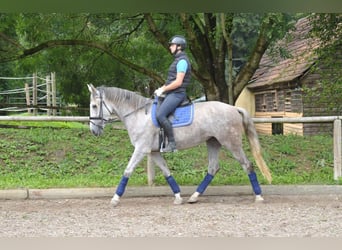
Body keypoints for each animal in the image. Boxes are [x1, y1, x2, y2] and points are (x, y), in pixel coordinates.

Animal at [88, 84, 272, 207]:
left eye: (94, 106)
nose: (93, 131)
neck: (139, 114)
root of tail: (234, 108)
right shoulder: (153, 152)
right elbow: (166, 171)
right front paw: (177, 196)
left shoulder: (141, 149)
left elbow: (127, 171)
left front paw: (115, 199)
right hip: (213, 142)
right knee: (213, 168)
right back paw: (194, 197)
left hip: (231, 143)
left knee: (247, 165)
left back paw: (259, 197)